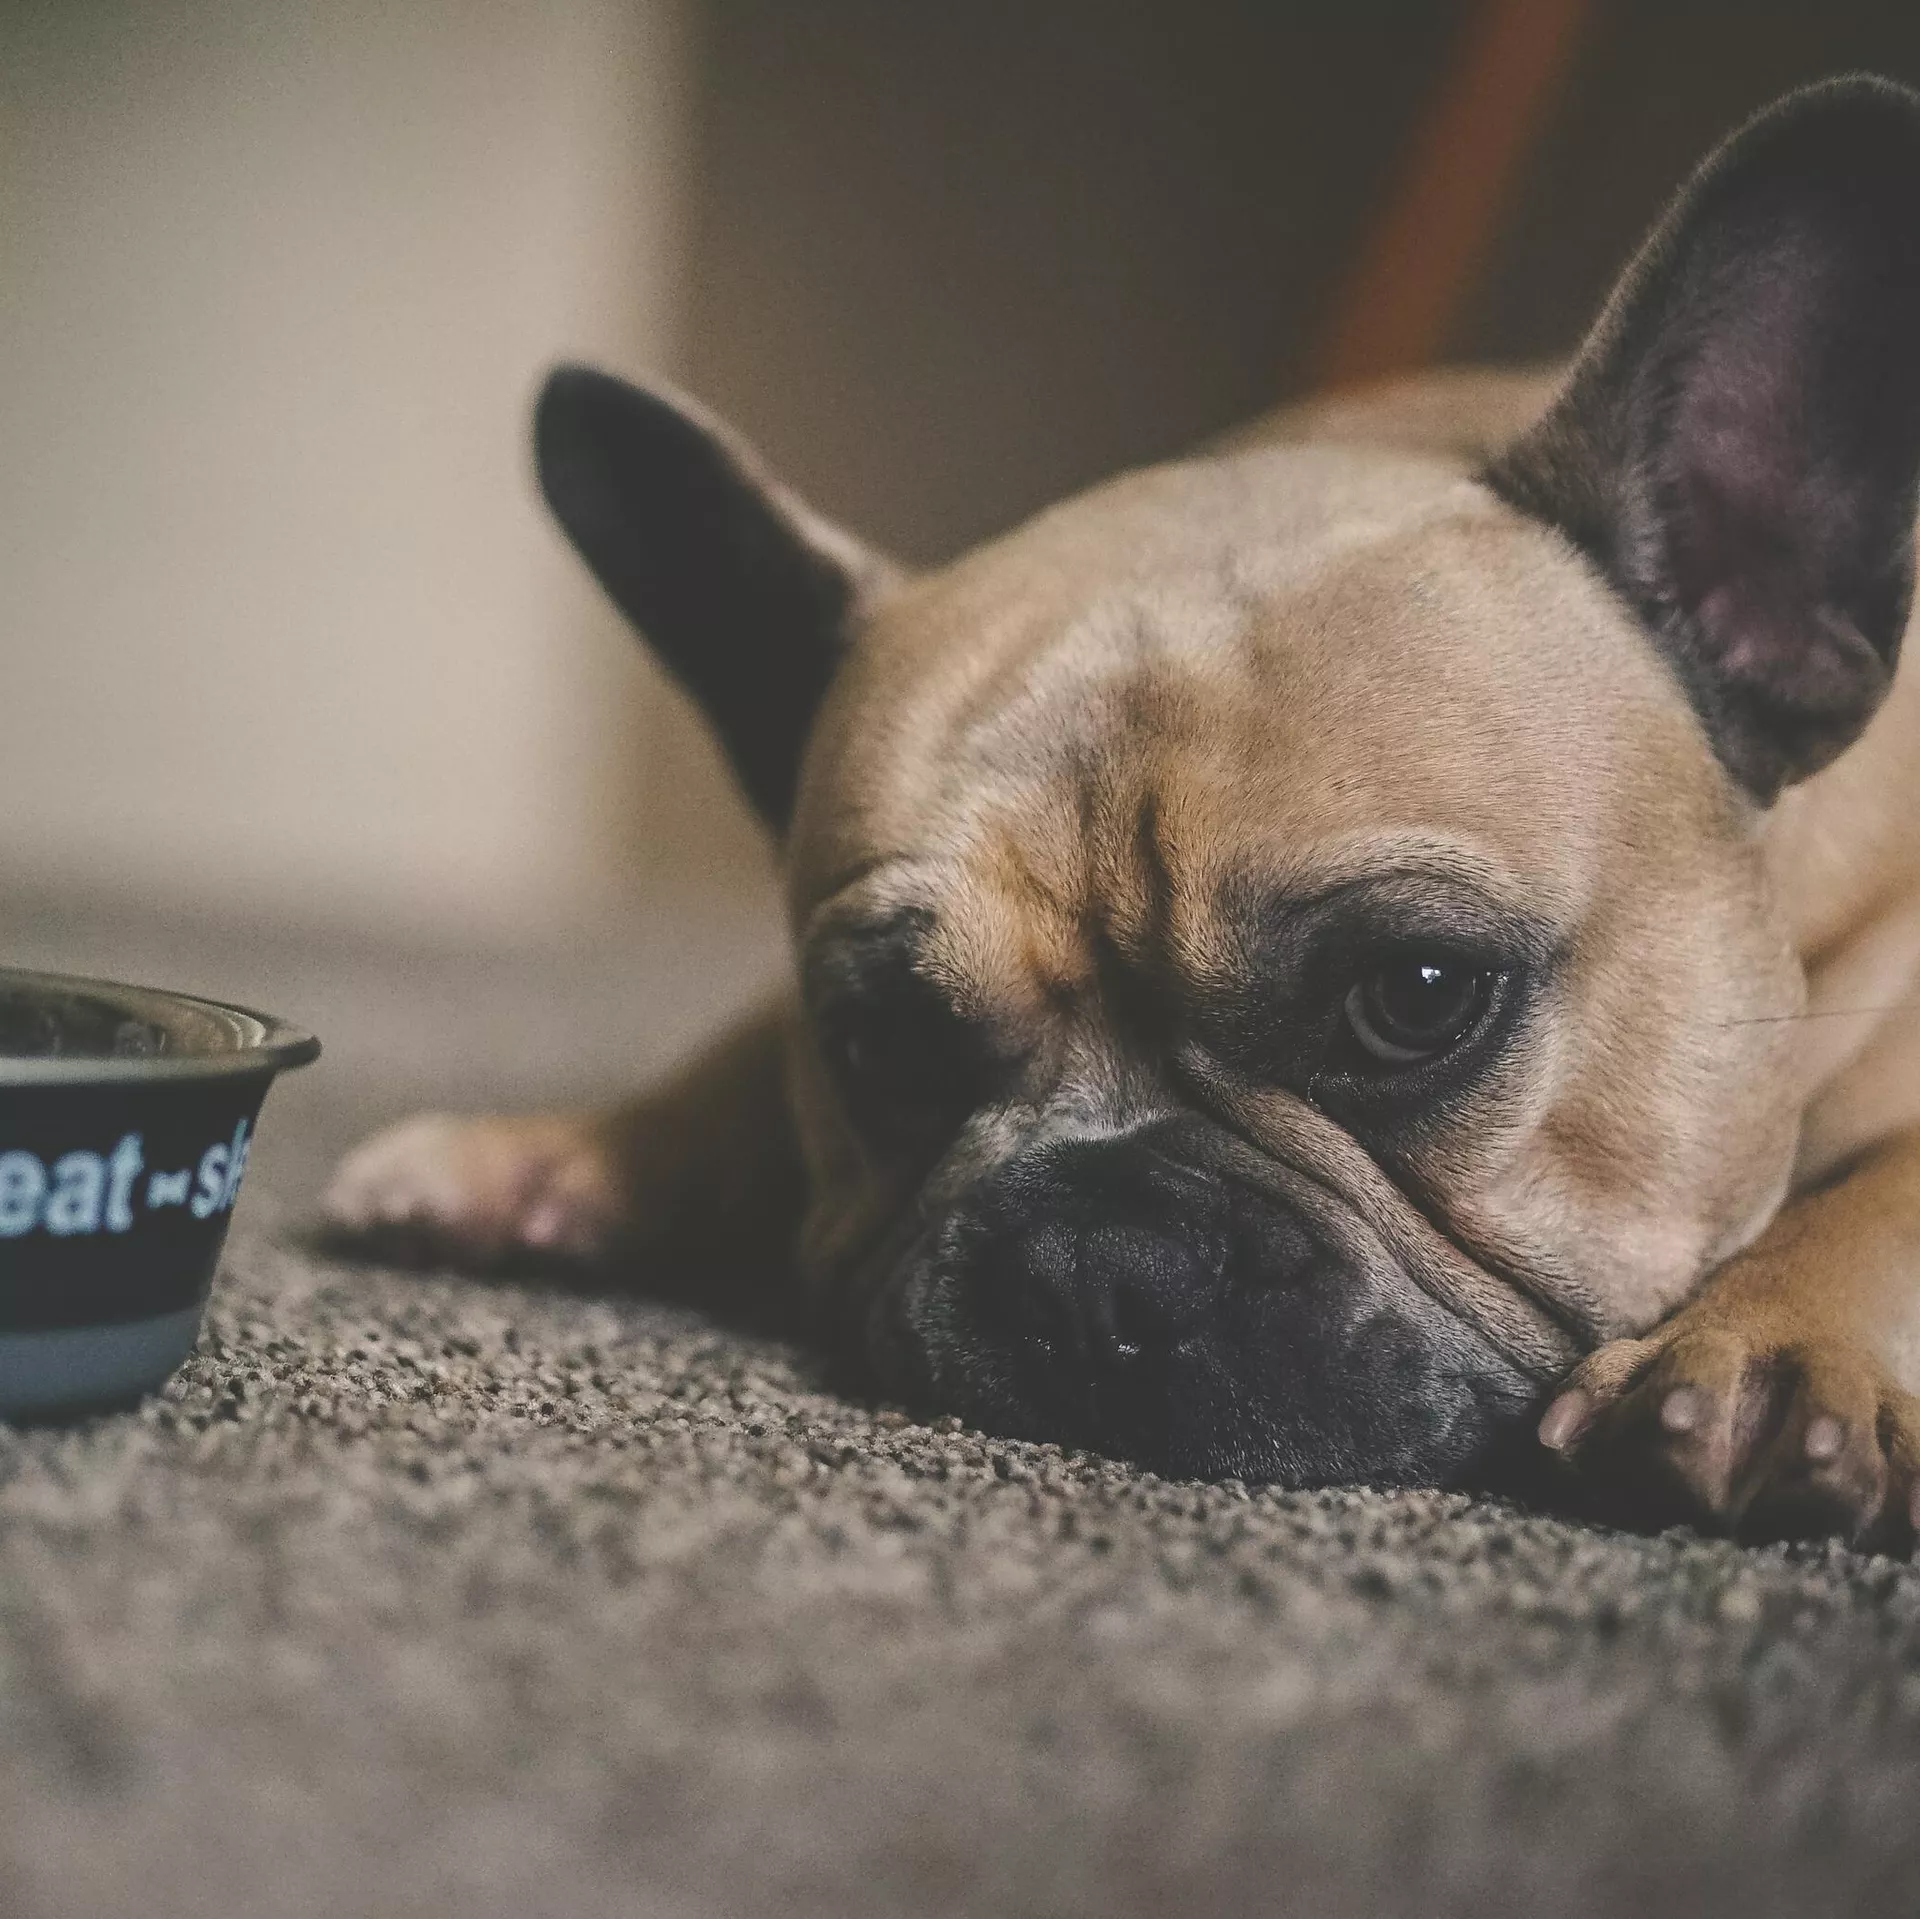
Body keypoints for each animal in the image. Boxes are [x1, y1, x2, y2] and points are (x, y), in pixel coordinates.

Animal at [326, 78, 1920, 1546]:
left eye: (1416, 995)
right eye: (877, 1041)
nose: (1096, 1263)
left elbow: (1892, 1182)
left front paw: (1762, 1346)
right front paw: (560, 1149)